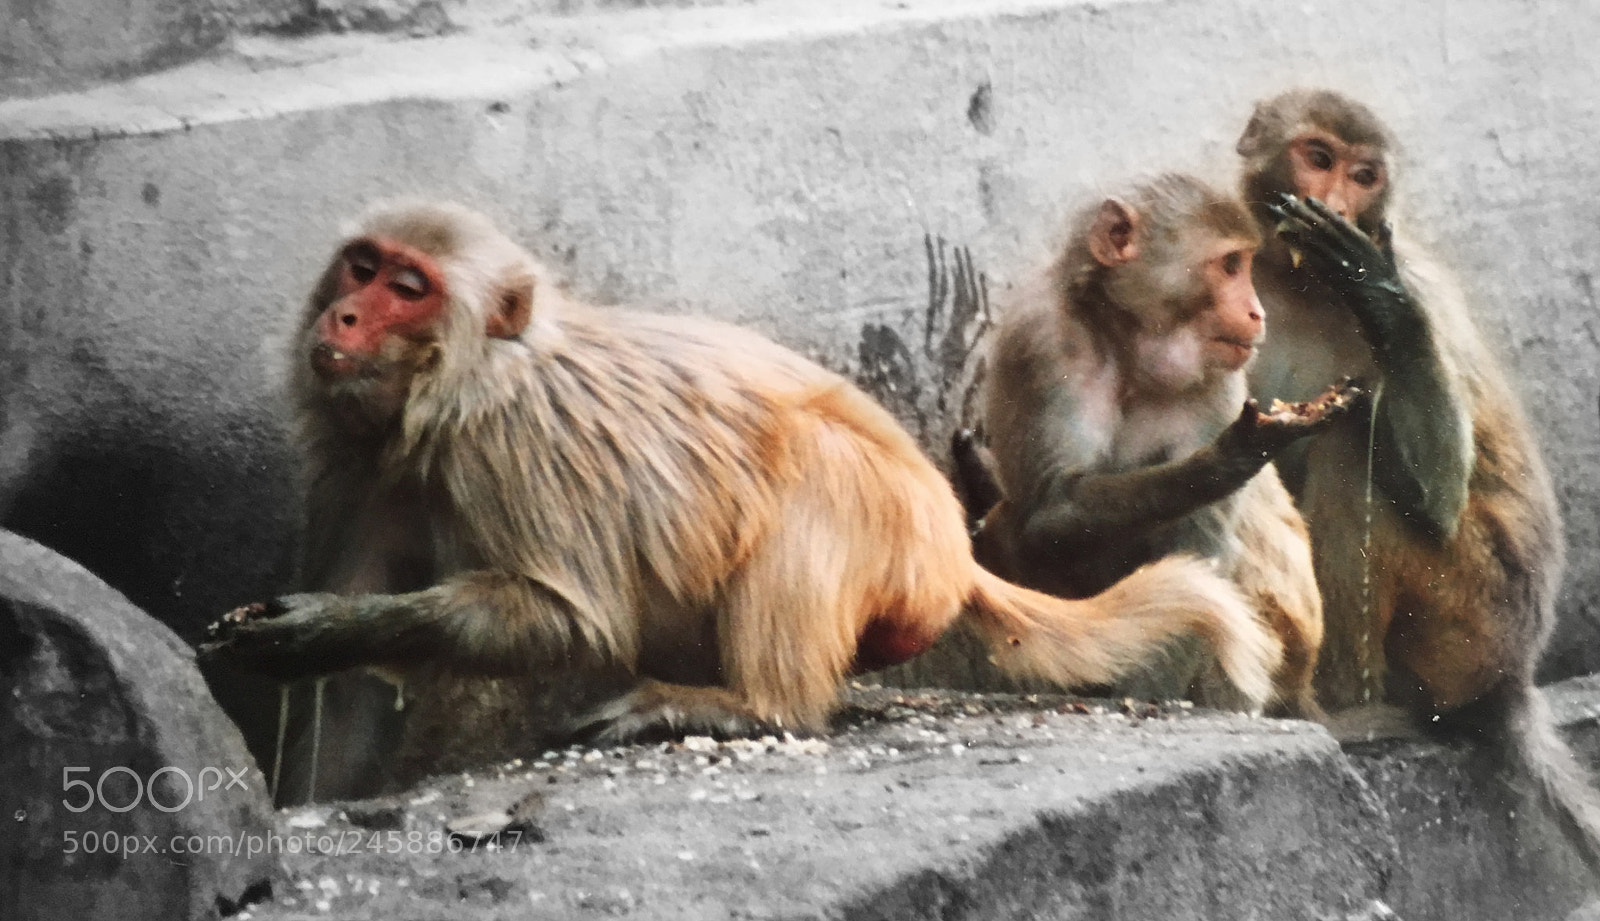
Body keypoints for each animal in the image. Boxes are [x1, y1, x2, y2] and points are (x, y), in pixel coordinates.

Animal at [198, 200, 1283, 796]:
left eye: (409, 288)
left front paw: (326, 625)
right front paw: (315, 677)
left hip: (895, 540)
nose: (344, 315)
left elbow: (571, 617)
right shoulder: (354, 462)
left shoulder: (510, 448)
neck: (449, 390)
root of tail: (953, 548)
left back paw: (753, 706)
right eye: (361, 266)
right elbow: (340, 696)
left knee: (813, 477)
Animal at [953, 174, 1355, 717]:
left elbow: (1197, 550)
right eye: (1230, 265)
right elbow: (1046, 512)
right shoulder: (1041, 342)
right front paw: (1227, 459)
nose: (1257, 311)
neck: (1130, 350)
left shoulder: (1221, 386)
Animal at [1234, 88, 1598, 867]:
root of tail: (1515, 674)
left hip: (1473, 621)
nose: (1337, 199)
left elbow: (1441, 491)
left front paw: (1378, 295)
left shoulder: (1419, 279)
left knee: (1351, 448)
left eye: (1364, 174)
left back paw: (1342, 710)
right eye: (1319, 156)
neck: (1297, 280)